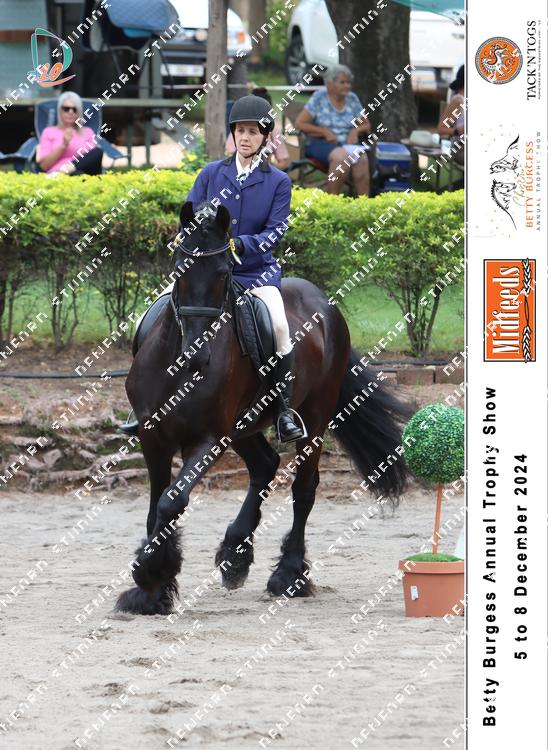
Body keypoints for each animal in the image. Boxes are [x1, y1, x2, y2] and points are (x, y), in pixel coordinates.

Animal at [116, 200, 411, 616]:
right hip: (245, 426)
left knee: (304, 488)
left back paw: (289, 575)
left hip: (313, 416)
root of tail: (325, 303)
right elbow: (157, 503)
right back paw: (235, 556)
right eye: (179, 269)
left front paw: (151, 576)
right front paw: (152, 590)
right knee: (265, 465)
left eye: (224, 272)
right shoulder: (152, 435)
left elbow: (172, 501)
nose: (197, 356)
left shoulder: (208, 439)